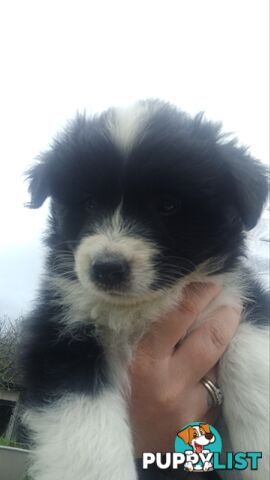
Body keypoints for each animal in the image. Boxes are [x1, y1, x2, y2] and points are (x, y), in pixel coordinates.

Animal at [20, 99, 268, 478]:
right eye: (89, 202)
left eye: (167, 204)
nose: (107, 268)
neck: (143, 306)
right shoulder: (59, 337)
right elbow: (89, 440)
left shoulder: (235, 297)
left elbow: (251, 355)